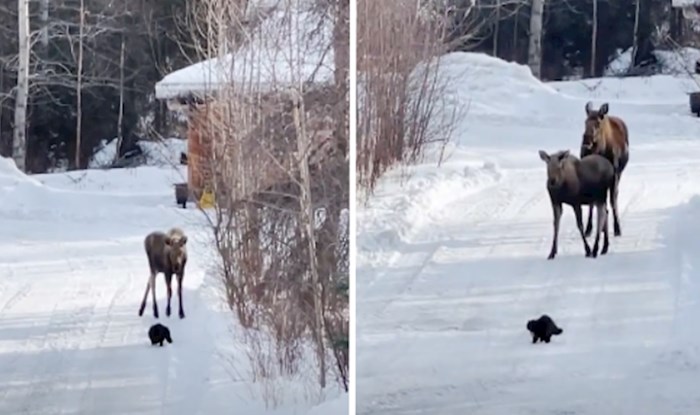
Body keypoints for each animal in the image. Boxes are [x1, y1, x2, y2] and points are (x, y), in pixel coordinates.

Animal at [580, 102, 628, 239]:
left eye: (598, 123)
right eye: (585, 122)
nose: (586, 141)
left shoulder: (615, 174)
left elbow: (612, 199)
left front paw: (617, 228)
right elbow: (592, 202)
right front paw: (588, 229)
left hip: (618, 175)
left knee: (613, 196)